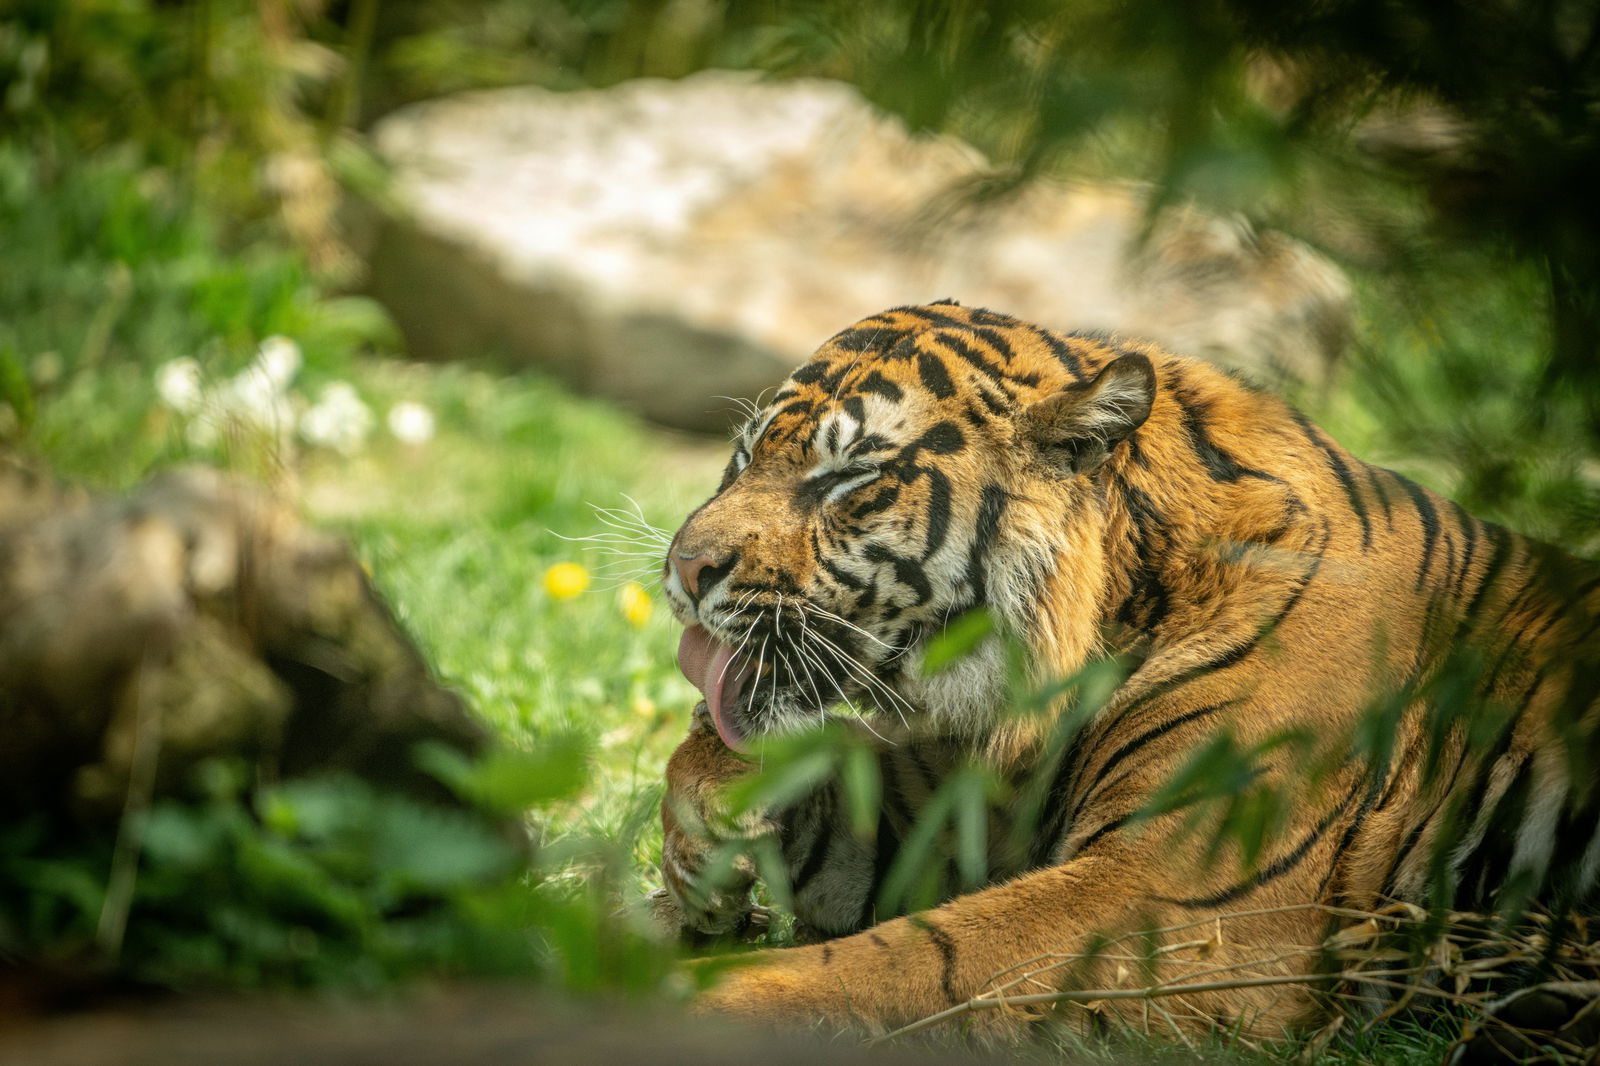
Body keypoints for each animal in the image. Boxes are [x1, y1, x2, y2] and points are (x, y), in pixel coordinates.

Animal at [653, 301, 1600, 1045]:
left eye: (850, 476)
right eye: (744, 456)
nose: (686, 569)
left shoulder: (1177, 901)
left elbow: (904, 962)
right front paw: (710, 842)